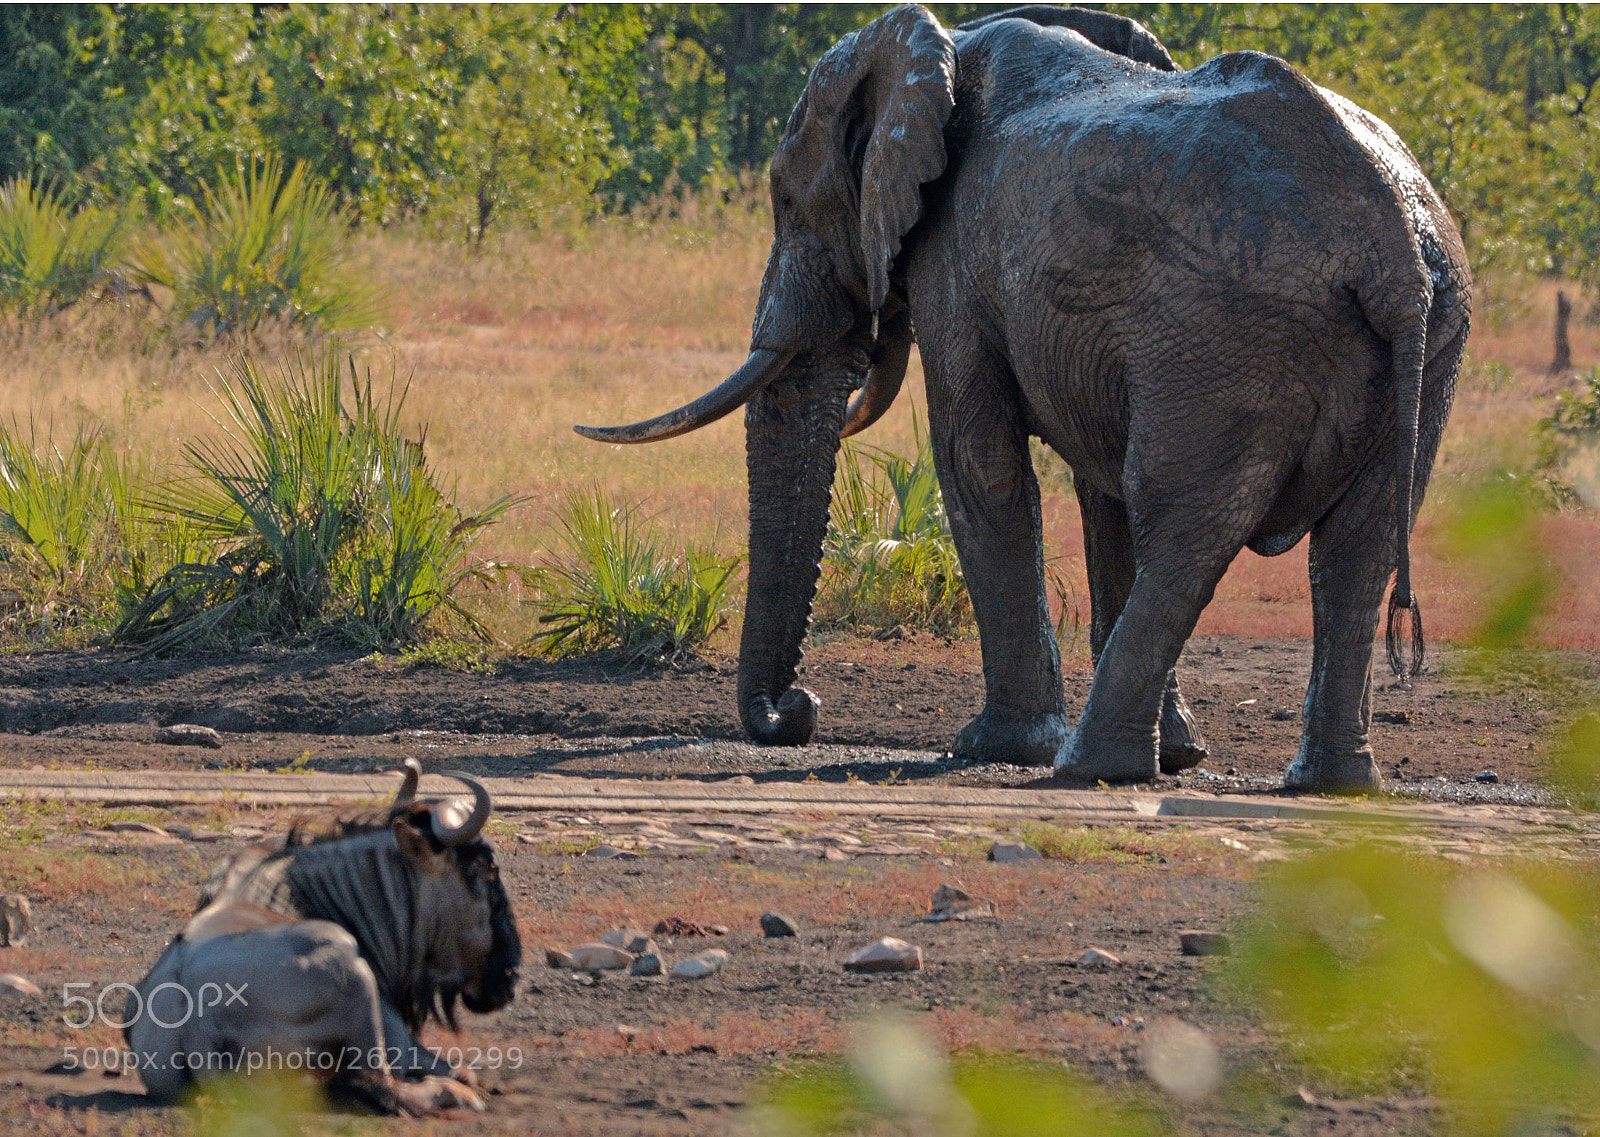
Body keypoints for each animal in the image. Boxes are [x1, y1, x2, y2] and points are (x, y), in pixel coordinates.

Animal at [577, 4, 1471, 794]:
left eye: (789, 204)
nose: (795, 710)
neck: (950, 39)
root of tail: (1392, 246)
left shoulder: (958, 255)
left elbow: (977, 462)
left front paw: (993, 746)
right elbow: (1098, 494)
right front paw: (1179, 755)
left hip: (1228, 337)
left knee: (1185, 525)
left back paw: (1089, 766)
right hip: (1430, 333)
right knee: (1353, 547)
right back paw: (1331, 784)